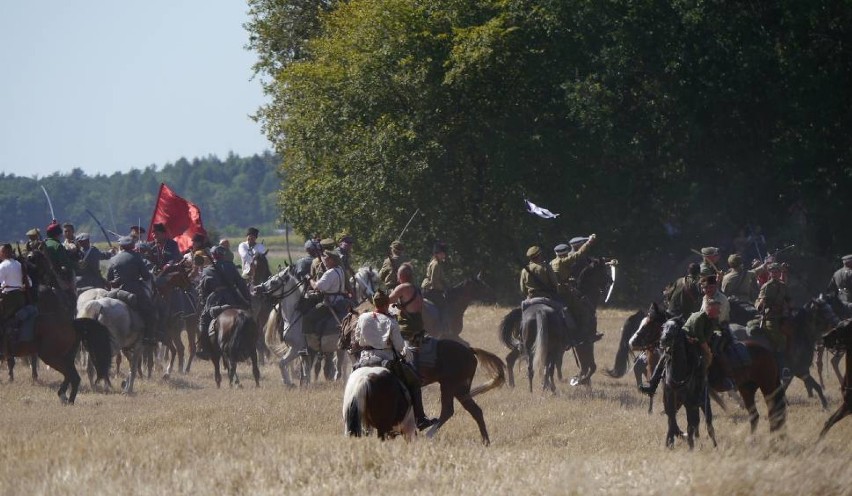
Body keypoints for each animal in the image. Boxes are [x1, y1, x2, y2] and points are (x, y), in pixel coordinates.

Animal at [500, 258, 612, 390]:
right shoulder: (585, 342)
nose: (611, 281)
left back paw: (514, 385)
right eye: (603, 270)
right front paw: (581, 380)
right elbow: (590, 366)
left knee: (514, 360)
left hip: (526, 344)